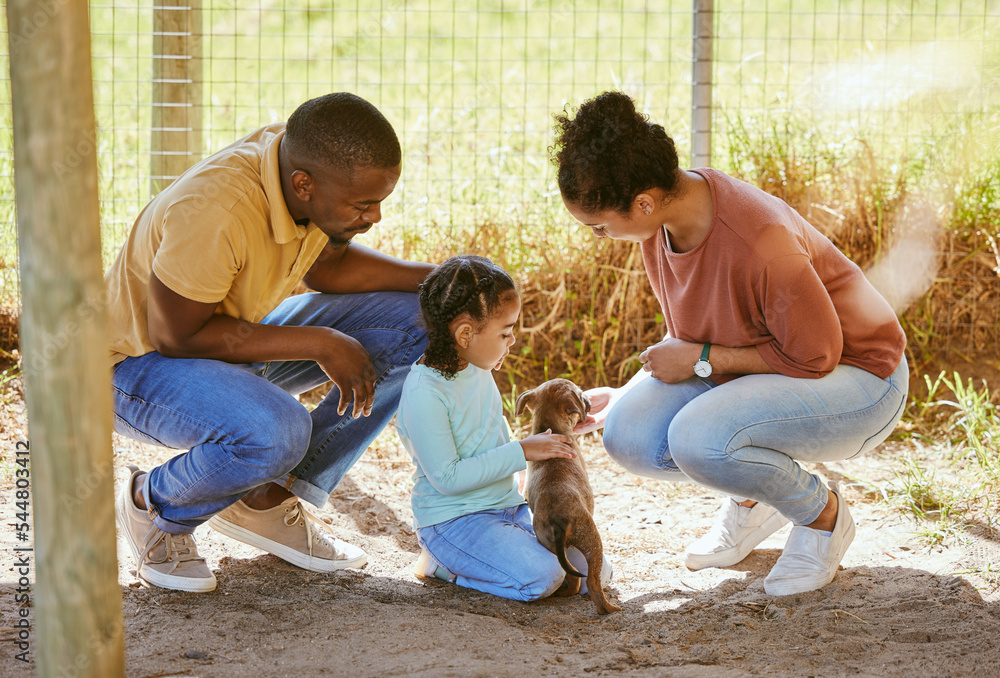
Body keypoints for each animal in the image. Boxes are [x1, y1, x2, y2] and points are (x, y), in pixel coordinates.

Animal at [512, 380, 620, 620]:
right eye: (580, 394)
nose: (588, 398)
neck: (550, 428)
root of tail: (558, 519)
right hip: (593, 543)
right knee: (592, 581)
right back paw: (609, 609)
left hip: (550, 544)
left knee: (572, 576)